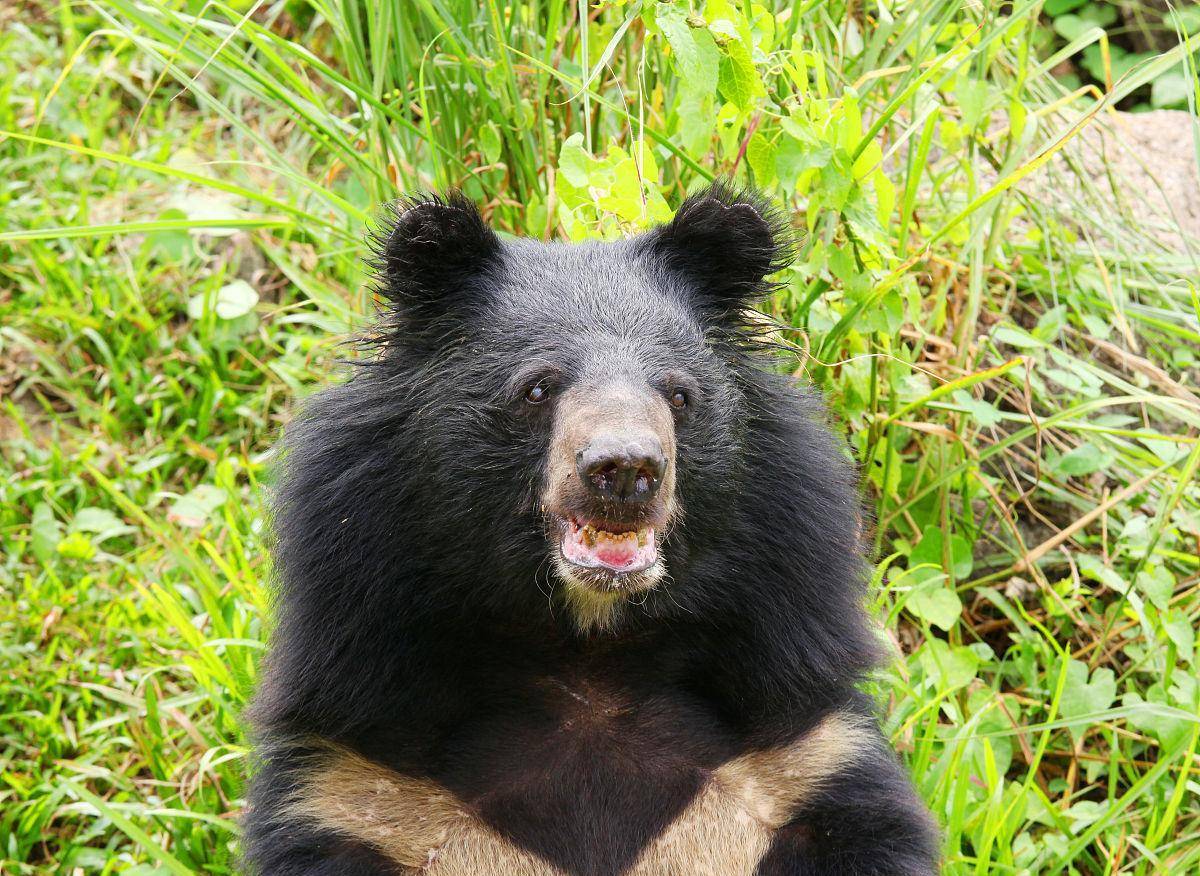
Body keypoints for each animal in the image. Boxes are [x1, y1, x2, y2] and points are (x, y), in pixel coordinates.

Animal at [243, 182, 936, 868]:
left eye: (678, 394)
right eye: (537, 388)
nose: (624, 469)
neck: (589, 649)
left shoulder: (802, 751)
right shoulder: (359, 785)